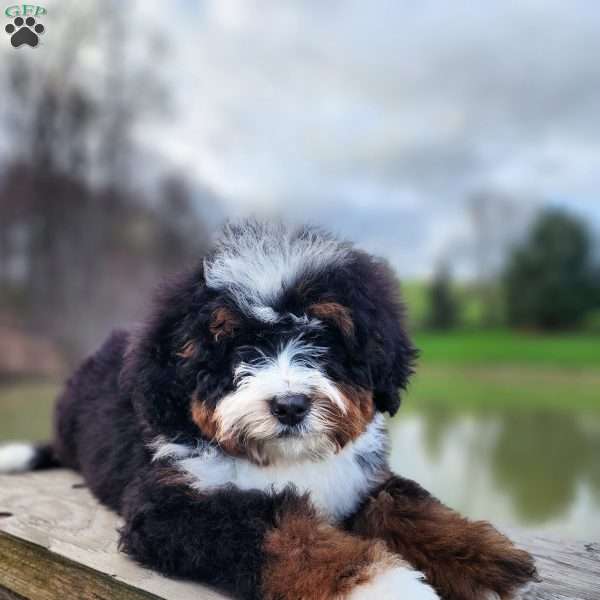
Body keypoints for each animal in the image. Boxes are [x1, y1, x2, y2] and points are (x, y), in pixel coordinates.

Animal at [0, 223, 536, 600]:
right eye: (234, 346)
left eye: (322, 337)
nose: (291, 405)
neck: (283, 458)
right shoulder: (171, 505)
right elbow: (279, 531)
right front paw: (383, 585)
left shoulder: (357, 478)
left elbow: (403, 501)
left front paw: (481, 559)